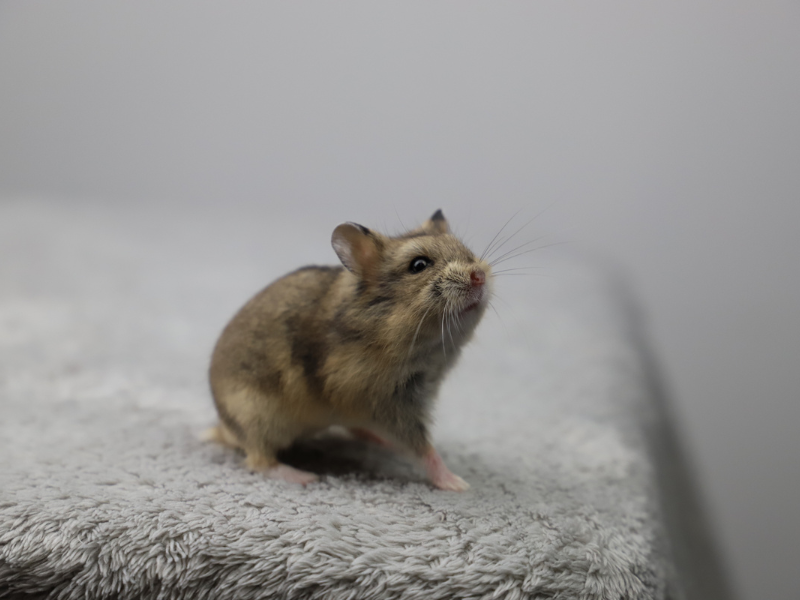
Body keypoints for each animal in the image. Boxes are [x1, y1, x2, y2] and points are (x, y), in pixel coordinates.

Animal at [208, 210, 491, 491]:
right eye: (419, 265)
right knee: (259, 460)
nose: (479, 275)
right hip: (257, 420)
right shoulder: (386, 404)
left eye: (465, 248)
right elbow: (424, 449)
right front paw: (459, 484)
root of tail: (224, 430)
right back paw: (305, 477)